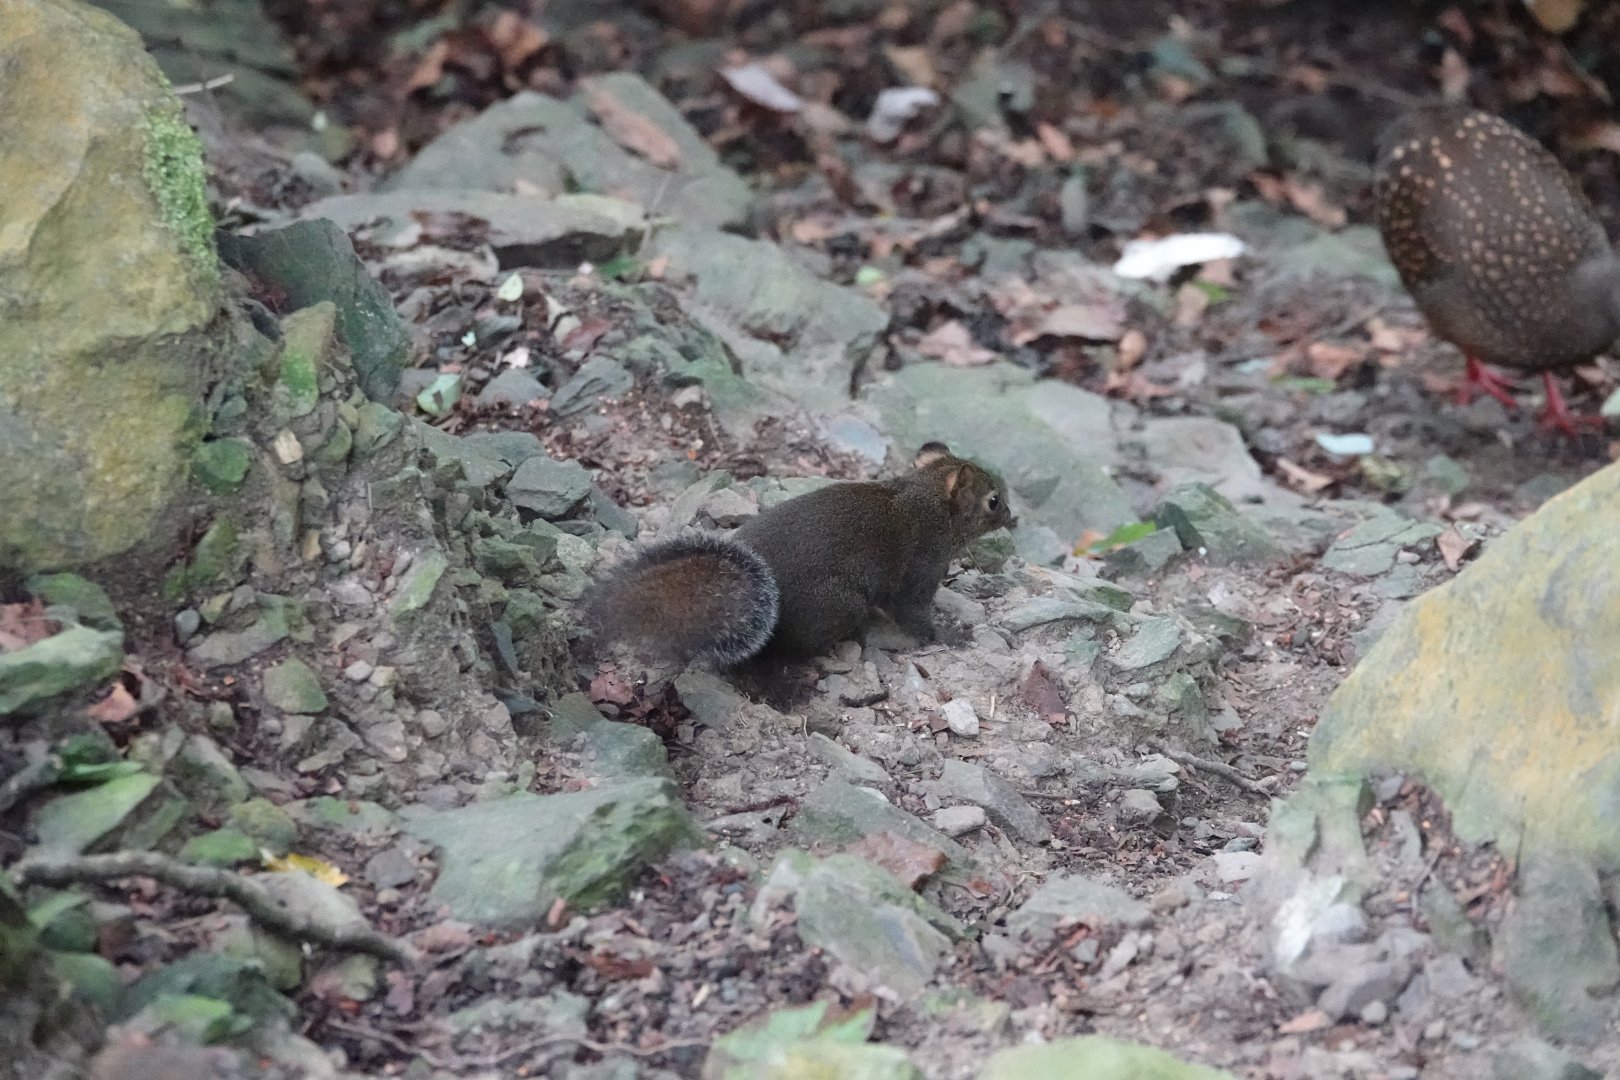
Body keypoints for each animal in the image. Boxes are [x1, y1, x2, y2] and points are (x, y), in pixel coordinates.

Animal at [587, 442, 1014, 667]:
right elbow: (915, 616)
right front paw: (951, 635)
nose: (1012, 516)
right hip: (840, 604)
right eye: (993, 501)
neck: (923, 500)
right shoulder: (919, 571)